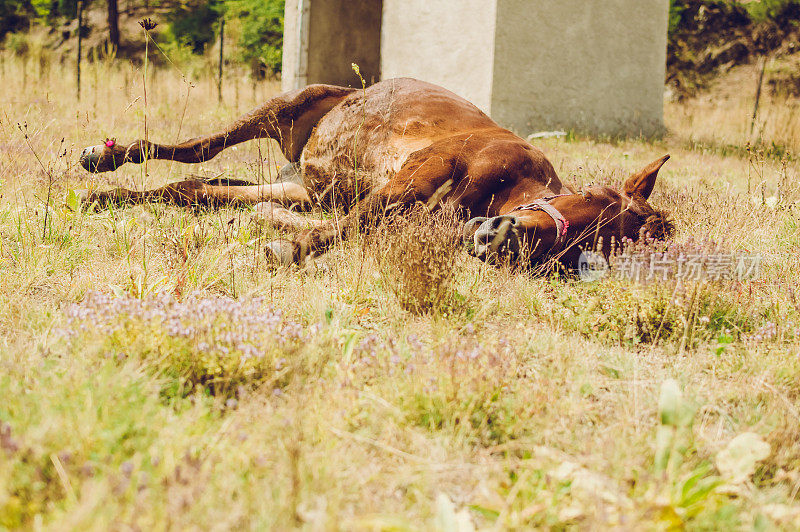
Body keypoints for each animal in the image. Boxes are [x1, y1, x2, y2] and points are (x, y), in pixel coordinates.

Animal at [78, 77, 672, 268]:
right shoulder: (424, 170)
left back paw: (106, 199)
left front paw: (277, 234)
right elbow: (354, 225)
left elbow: (350, 227)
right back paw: (104, 158)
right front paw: (285, 248)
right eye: (590, 200)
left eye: (585, 254)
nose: (496, 238)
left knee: (197, 189)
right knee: (194, 151)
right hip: (281, 108)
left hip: (303, 185)